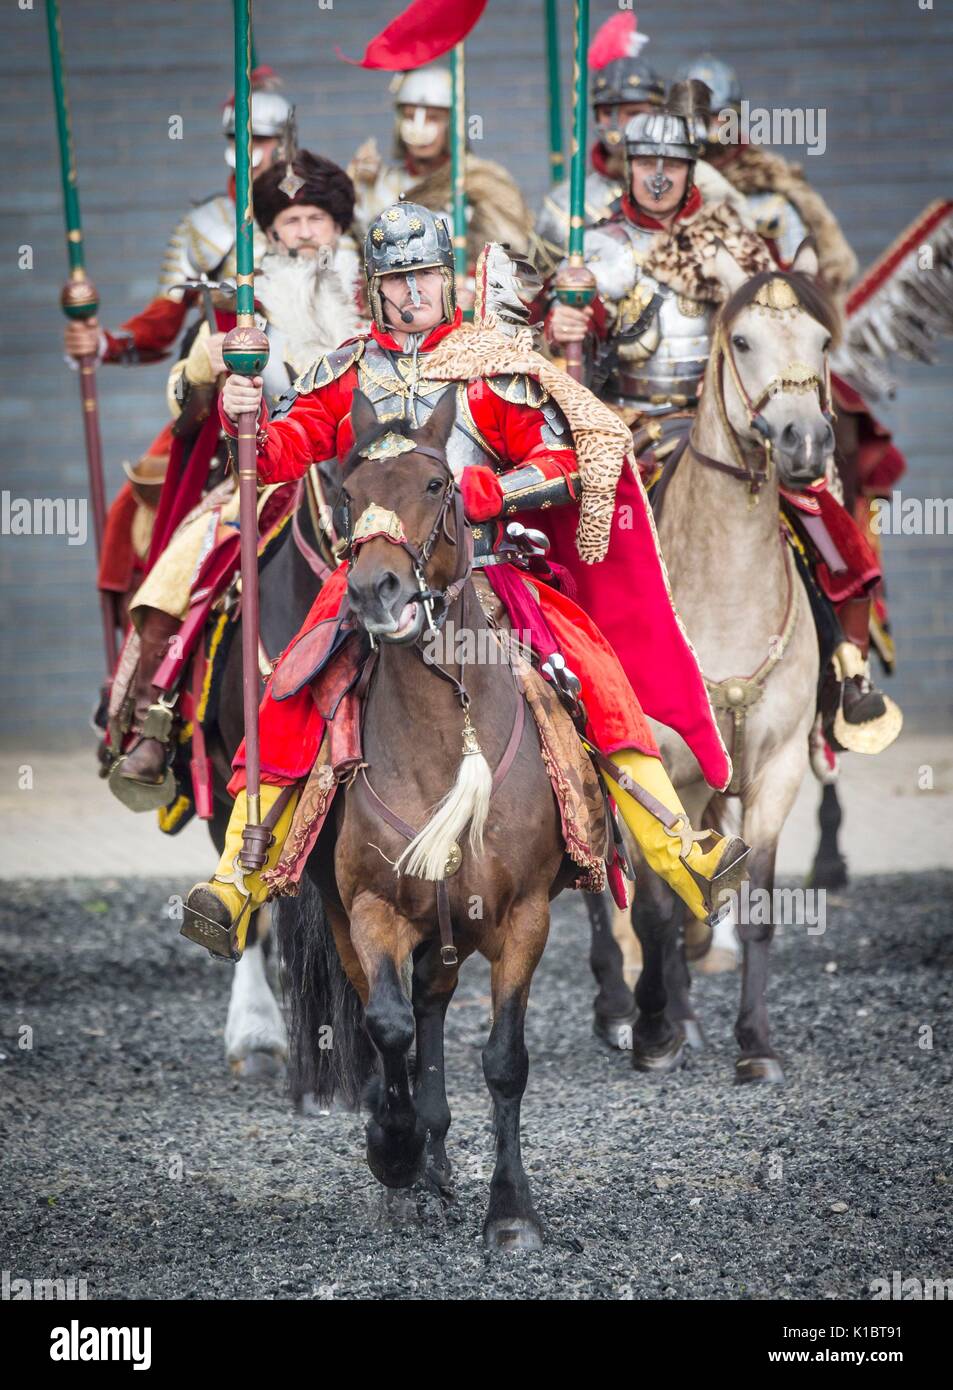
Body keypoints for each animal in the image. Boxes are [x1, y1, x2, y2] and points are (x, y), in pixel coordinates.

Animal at [276, 389, 575, 1251]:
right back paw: (413, 1160)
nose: (375, 589)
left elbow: (503, 1059)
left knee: (436, 1004)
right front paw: (394, 1150)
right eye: (347, 493)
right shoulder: (370, 909)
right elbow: (387, 1026)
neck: (447, 741)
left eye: (439, 484)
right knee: (404, 1019)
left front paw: (511, 1213)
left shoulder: (523, 914)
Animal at [619, 244, 833, 1078]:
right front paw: (653, 1033)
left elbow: (759, 909)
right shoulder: (654, 773)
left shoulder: (777, 770)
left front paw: (755, 1044)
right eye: (740, 340)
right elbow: (653, 904)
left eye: (822, 341)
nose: (804, 440)